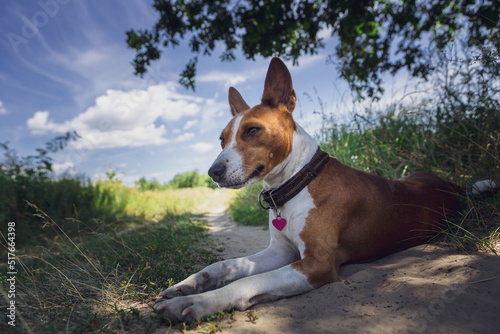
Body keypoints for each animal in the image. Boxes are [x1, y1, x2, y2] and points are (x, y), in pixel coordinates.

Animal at [153, 57, 476, 324]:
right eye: (222, 140)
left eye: (253, 130)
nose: (213, 172)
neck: (298, 183)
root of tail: (450, 184)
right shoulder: (279, 252)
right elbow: (224, 266)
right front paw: (188, 285)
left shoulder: (318, 263)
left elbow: (246, 282)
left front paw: (198, 302)